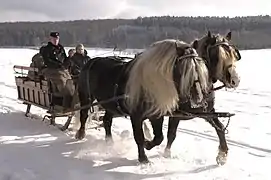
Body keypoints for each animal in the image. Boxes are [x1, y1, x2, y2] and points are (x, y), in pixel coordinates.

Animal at [75, 39, 211, 163]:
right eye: (185, 69)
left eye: (199, 68)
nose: (198, 99)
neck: (147, 85)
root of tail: (90, 61)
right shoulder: (136, 116)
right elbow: (139, 137)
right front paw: (143, 158)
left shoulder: (156, 115)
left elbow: (159, 137)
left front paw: (148, 144)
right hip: (86, 97)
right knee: (84, 114)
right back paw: (80, 133)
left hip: (111, 105)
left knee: (107, 120)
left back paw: (109, 142)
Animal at [162, 31, 242, 166]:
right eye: (216, 56)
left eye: (234, 54)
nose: (235, 80)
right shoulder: (176, 114)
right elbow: (171, 133)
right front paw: (166, 154)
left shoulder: (206, 111)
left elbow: (220, 127)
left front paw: (222, 154)